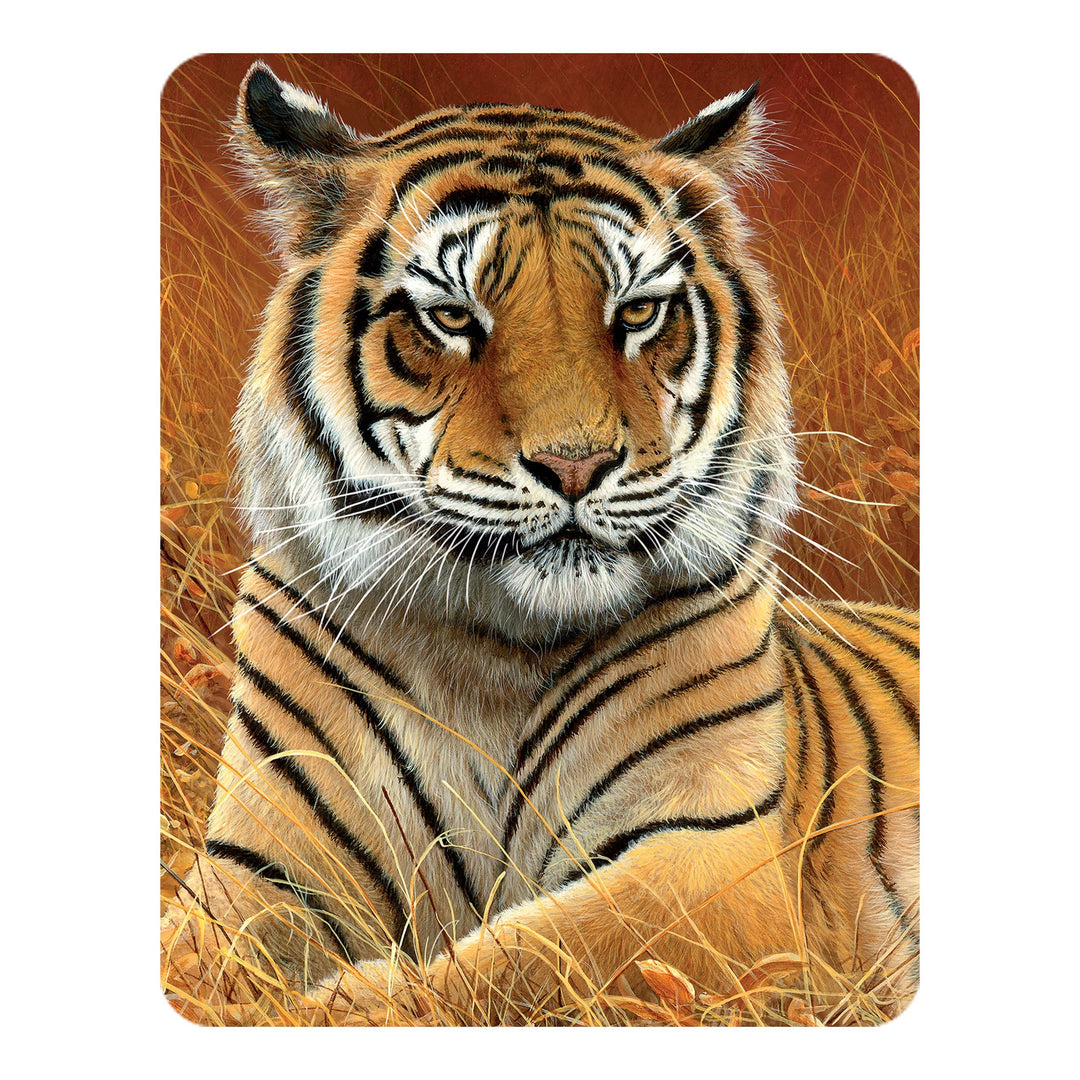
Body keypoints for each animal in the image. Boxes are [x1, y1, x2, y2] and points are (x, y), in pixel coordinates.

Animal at [162, 61, 919, 1025]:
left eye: (637, 312)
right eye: (453, 317)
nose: (576, 464)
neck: (491, 658)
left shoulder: (710, 857)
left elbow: (523, 960)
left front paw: (346, 1004)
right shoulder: (259, 866)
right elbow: (189, 959)